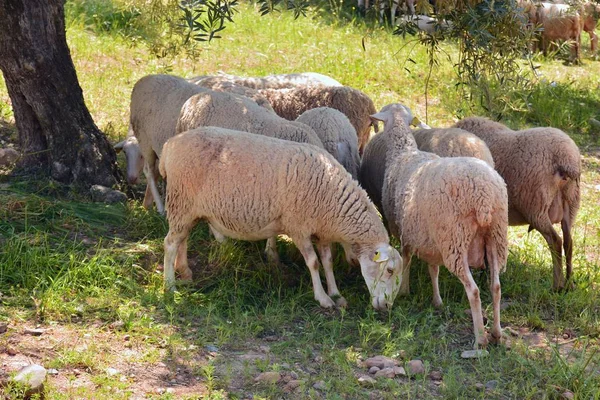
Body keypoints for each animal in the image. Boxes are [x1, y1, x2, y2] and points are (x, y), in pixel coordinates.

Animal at [159, 127, 404, 310]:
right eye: (390, 271)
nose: (387, 307)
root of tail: (170, 145)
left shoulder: (322, 231)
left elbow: (327, 261)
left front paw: (336, 294)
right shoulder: (298, 227)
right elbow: (313, 263)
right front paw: (323, 298)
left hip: (187, 209)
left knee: (182, 239)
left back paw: (185, 272)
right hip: (181, 201)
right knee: (170, 243)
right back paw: (170, 285)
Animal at [370, 104, 506, 350]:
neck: (404, 154)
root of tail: (484, 196)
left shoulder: (404, 231)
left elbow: (406, 260)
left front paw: (404, 290)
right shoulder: (429, 237)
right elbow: (433, 269)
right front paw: (437, 301)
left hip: (455, 240)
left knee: (473, 290)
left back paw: (480, 339)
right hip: (495, 236)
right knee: (496, 287)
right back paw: (497, 333)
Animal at [454, 115, 580, 290]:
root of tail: (567, 158)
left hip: (536, 207)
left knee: (555, 241)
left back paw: (557, 286)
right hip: (571, 204)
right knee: (569, 243)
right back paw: (568, 284)